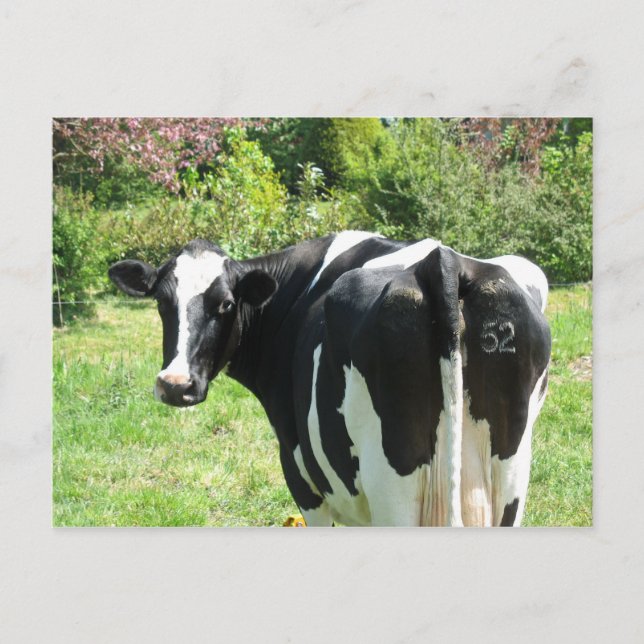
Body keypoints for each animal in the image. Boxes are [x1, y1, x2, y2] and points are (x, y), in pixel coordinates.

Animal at [108, 231, 551, 527]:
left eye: (226, 304)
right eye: (161, 302)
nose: (175, 384)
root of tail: (442, 263)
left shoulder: (301, 474)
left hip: (393, 487)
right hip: (510, 479)